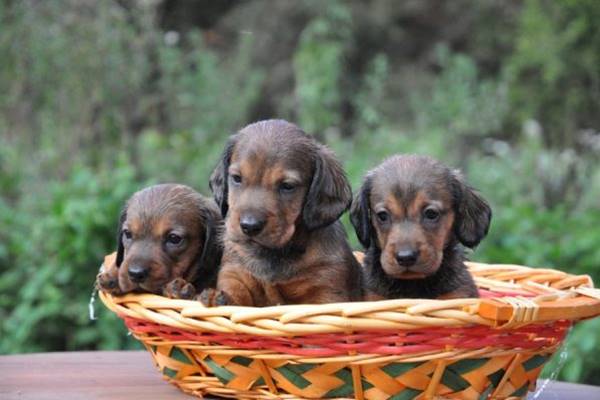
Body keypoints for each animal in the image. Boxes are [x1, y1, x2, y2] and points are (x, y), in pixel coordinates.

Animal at [200, 119, 360, 306]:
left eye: (287, 186)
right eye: (236, 178)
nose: (249, 226)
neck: (274, 254)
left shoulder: (327, 289)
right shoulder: (235, 274)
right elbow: (235, 293)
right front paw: (216, 297)